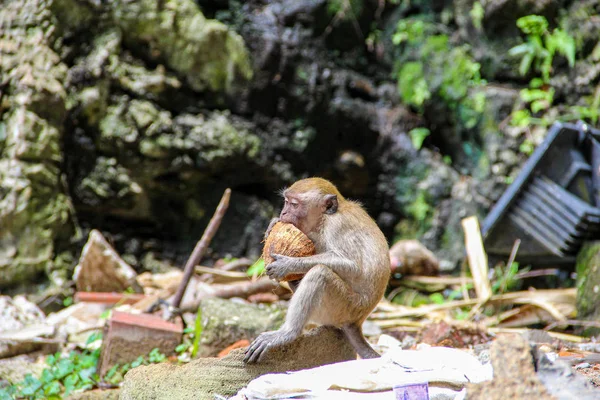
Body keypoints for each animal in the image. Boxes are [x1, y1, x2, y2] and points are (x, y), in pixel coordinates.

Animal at [244, 177, 390, 362]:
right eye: (286, 202)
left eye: (294, 204)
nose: (283, 213)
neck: (325, 219)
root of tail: (357, 321)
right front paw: (272, 224)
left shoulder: (337, 226)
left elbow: (353, 266)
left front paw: (287, 264)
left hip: (345, 307)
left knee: (320, 274)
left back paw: (288, 333)